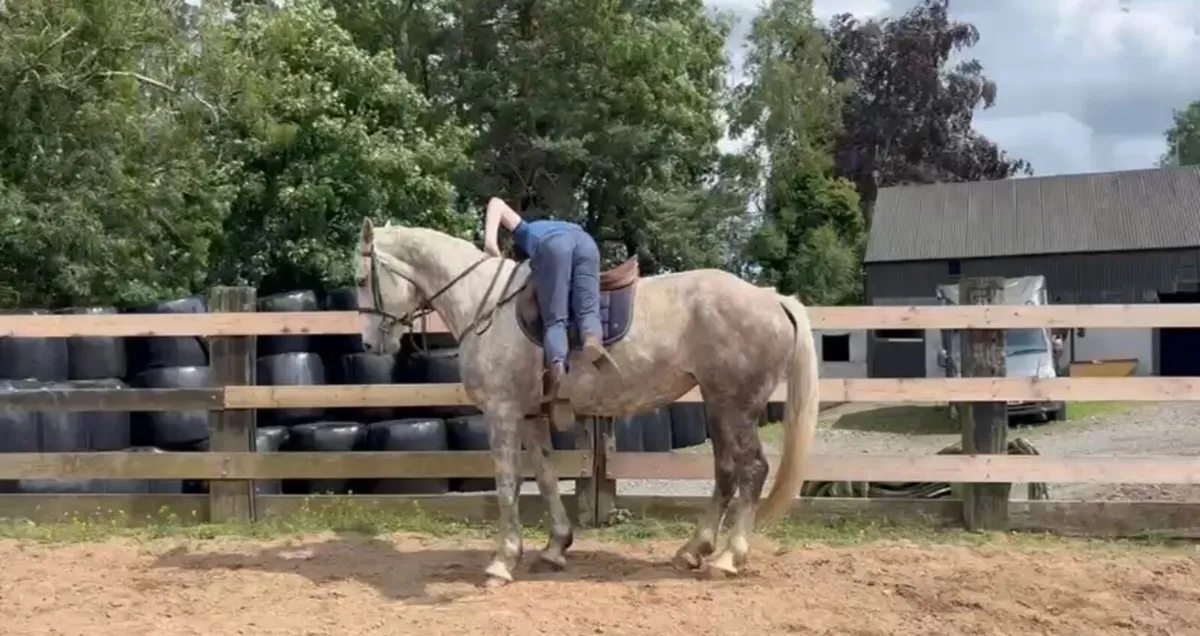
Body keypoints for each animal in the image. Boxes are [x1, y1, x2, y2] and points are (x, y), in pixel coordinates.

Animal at [355, 218, 820, 587]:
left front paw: (502, 562)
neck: (483, 303)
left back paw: (729, 557)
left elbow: (507, 485)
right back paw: (694, 549)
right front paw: (554, 548)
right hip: (719, 404)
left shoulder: (502, 413)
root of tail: (771, 297)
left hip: (736, 406)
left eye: (361, 279)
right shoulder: (529, 415)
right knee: (725, 472)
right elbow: (544, 477)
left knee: (752, 470)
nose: (369, 344)